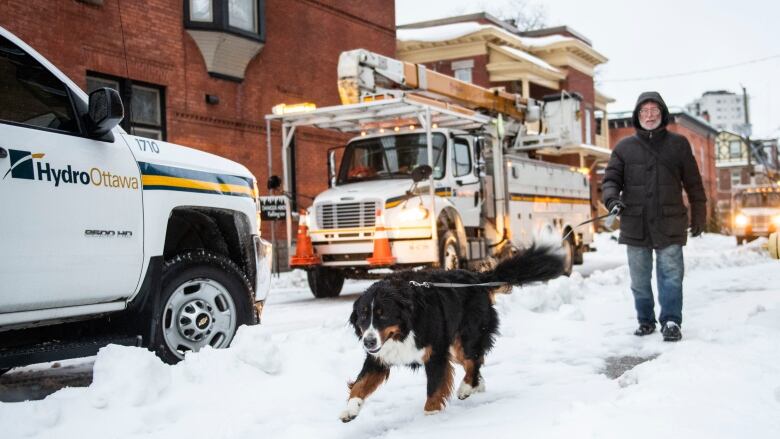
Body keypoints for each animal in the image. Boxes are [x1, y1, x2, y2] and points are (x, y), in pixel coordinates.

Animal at [338, 246, 564, 422]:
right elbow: (360, 384)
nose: (368, 342)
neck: (405, 328)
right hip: (455, 345)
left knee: (473, 360)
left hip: (468, 335)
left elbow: (434, 388)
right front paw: (350, 409)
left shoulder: (435, 354)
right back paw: (477, 385)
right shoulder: (378, 357)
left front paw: (431, 417)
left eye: (383, 315)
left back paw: (466, 388)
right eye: (363, 316)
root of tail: (477, 278)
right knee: (473, 362)